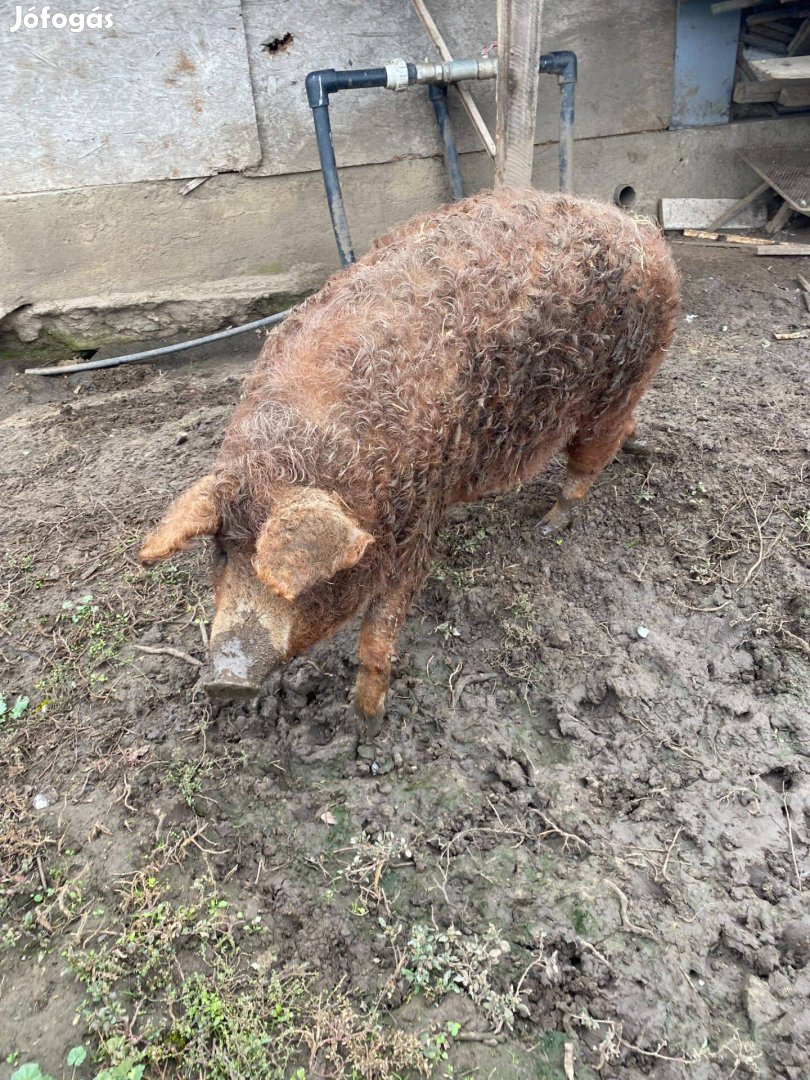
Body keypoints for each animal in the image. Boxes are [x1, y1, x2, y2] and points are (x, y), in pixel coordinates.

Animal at [142, 190, 682, 738]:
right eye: (222, 552)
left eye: (303, 581)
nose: (226, 677)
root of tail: (637, 228)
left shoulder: (417, 517)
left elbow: (381, 630)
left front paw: (365, 724)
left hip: (619, 382)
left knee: (591, 455)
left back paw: (549, 525)